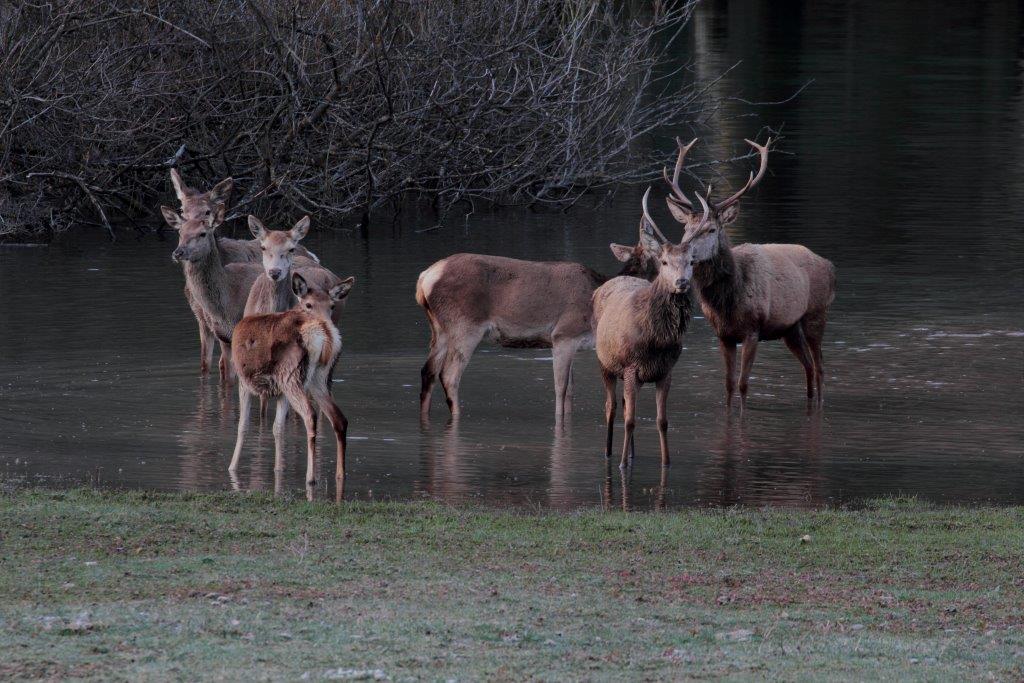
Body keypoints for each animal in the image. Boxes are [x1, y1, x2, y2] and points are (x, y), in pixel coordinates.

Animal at [165, 165, 317, 378]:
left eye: (207, 211)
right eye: (182, 210)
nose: (179, 251)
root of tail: (310, 253)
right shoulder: (203, 321)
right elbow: (205, 364)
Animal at [228, 270, 356, 485]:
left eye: (332, 306)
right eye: (308, 304)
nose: (328, 321)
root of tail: (324, 334)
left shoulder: (244, 381)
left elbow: (242, 426)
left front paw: (232, 468)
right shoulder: (280, 391)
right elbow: (278, 427)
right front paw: (278, 468)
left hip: (291, 375)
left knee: (310, 415)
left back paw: (311, 477)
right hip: (316, 379)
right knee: (340, 419)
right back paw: (340, 474)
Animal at [417, 227, 663, 423]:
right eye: (664, 258)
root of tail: (425, 278)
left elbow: (570, 391)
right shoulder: (563, 334)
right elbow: (560, 389)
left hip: (439, 329)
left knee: (428, 371)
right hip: (465, 326)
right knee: (449, 375)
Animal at [593, 191, 704, 471]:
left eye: (691, 262)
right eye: (664, 261)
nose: (681, 282)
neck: (656, 341)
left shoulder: (665, 371)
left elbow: (662, 421)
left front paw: (666, 462)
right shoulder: (631, 367)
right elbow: (630, 420)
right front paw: (622, 465)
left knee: (622, 405)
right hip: (605, 363)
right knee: (611, 407)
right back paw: (609, 453)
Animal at [659, 136, 835, 409]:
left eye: (711, 229)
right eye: (686, 228)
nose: (684, 250)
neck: (729, 298)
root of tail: (830, 266)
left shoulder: (753, 329)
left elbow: (743, 384)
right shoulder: (723, 335)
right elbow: (729, 385)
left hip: (816, 314)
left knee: (820, 368)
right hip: (790, 328)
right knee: (807, 366)